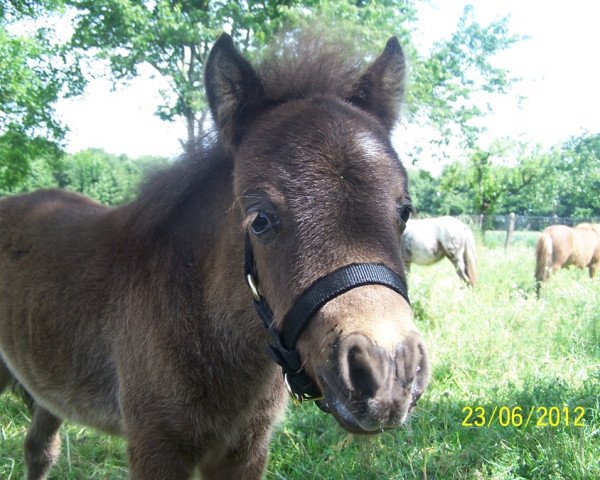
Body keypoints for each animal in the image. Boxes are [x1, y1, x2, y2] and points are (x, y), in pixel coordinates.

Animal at [0, 31, 428, 478]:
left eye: (404, 210)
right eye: (260, 220)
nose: (387, 373)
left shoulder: (246, 449)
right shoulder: (155, 446)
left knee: (39, 448)